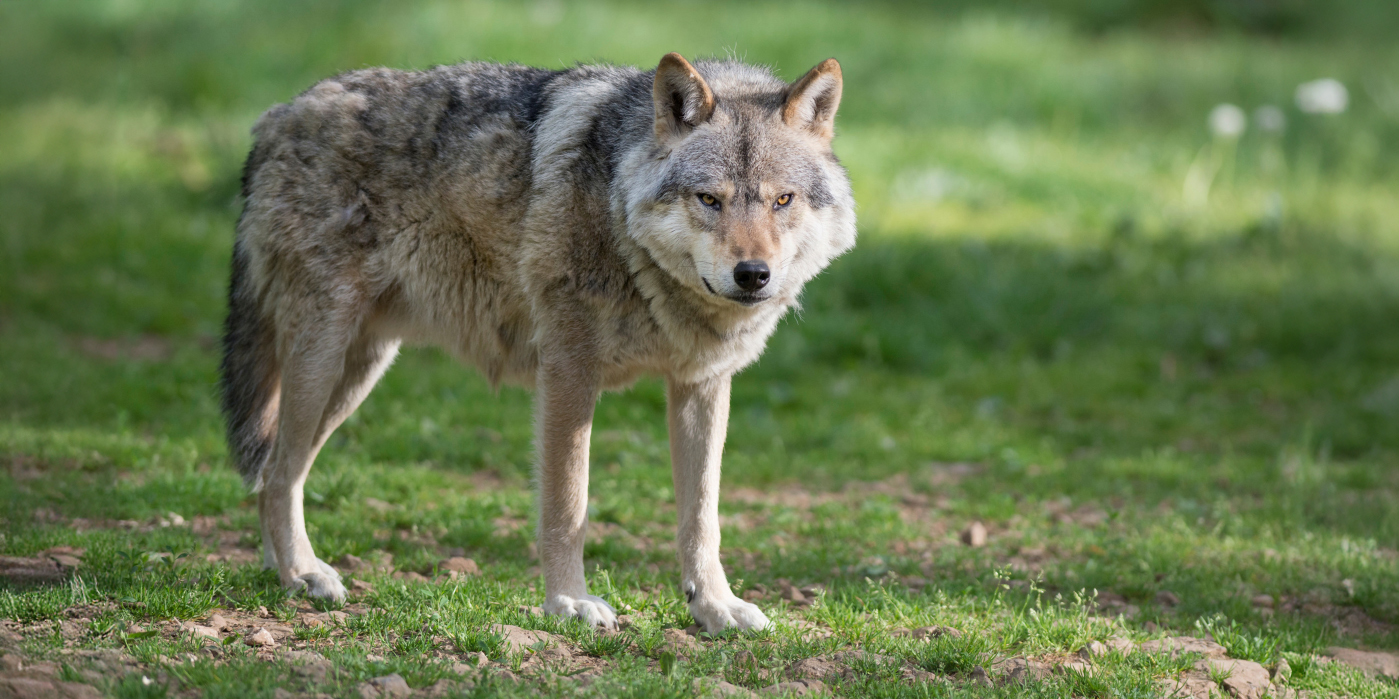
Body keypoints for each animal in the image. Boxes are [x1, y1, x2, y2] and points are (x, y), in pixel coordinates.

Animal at [220, 52, 855, 632]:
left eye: (782, 200)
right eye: (709, 199)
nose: (753, 275)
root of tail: (278, 115)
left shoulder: (701, 384)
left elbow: (702, 517)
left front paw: (716, 607)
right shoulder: (568, 371)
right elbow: (568, 504)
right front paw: (569, 603)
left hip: (358, 372)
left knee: (276, 471)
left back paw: (283, 572)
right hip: (324, 361)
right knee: (278, 472)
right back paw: (303, 573)